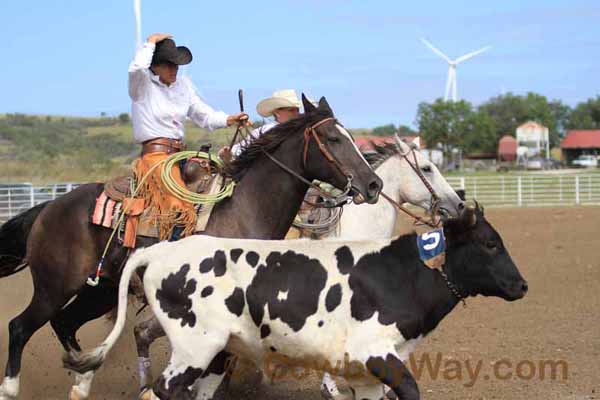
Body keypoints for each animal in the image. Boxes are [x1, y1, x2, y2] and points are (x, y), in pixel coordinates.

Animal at [0, 97, 384, 400]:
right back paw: (11, 389)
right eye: (333, 138)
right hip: (55, 286)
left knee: (65, 323)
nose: (373, 184)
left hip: (100, 291)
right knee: (20, 326)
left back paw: (82, 382)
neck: (241, 212)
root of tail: (49, 207)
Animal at [63, 206, 528, 400]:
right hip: (194, 348)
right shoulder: (377, 354)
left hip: (219, 354)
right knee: (164, 389)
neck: (400, 273)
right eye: (490, 243)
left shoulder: (364, 376)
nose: (521, 285)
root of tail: (162, 251)